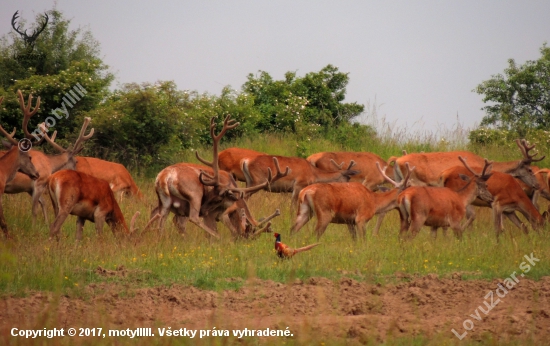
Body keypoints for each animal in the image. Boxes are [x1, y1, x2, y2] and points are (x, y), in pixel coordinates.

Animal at [149, 115, 292, 238]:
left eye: (218, 198)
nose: (203, 210)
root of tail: (164, 177)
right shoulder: (217, 213)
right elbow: (222, 228)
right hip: (194, 194)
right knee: (192, 218)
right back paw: (217, 237)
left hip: (166, 201)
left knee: (160, 220)